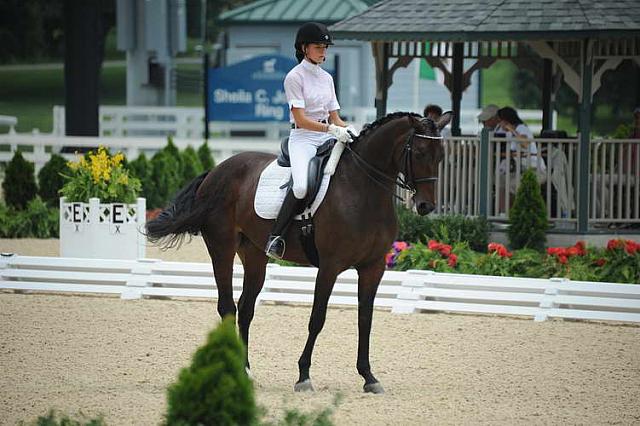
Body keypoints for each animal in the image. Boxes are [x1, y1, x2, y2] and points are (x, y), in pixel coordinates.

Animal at [148, 110, 452, 392]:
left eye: (441, 156)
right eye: (420, 152)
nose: (426, 206)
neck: (363, 190)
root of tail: (215, 171)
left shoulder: (373, 267)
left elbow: (365, 319)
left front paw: (369, 377)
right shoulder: (330, 266)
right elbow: (317, 319)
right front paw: (304, 376)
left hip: (254, 255)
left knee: (246, 309)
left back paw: (245, 371)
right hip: (221, 248)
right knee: (227, 307)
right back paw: (232, 369)